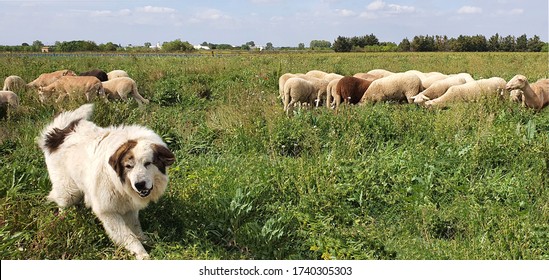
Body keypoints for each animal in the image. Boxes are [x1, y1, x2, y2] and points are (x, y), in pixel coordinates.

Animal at [38, 104, 174, 260]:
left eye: (148, 163)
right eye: (129, 166)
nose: (139, 185)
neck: (120, 184)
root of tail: (59, 133)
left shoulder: (130, 208)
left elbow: (136, 229)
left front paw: (148, 242)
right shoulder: (108, 212)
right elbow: (129, 236)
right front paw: (142, 254)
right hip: (69, 191)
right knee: (63, 204)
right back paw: (65, 219)